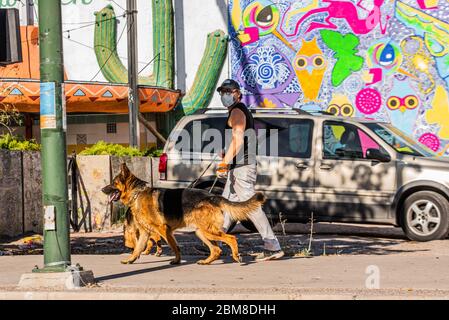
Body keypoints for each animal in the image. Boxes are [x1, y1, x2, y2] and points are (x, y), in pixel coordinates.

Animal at [102, 162, 264, 264]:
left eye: (113, 183)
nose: (102, 189)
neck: (137, 194)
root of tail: (212, 196)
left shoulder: (164, 230)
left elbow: (174, 246)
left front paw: (176, 260)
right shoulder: (144, 233)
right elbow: (137, 249)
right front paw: (130, 260)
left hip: (208, 231)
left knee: (231, 238)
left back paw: (236, 255)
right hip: (201, 232)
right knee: (216, 249)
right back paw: (206, 261)